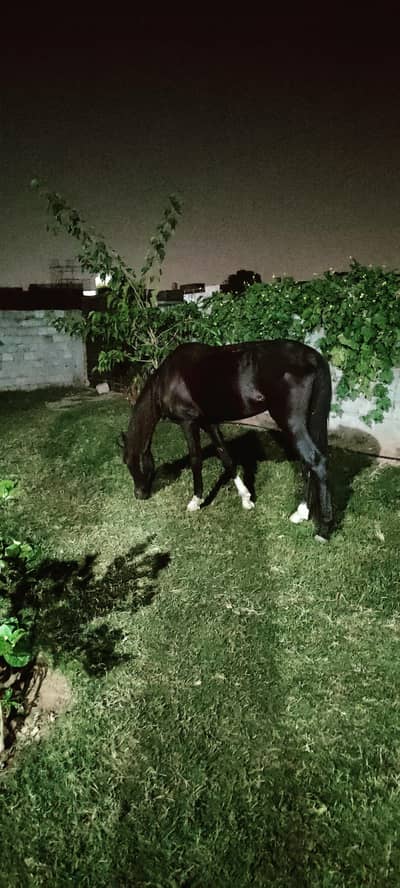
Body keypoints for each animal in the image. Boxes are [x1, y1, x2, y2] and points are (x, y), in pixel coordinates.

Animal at [121, 339, 333, 540]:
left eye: (131, 463)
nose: (139, 494)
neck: (167, 379)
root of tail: (314, 357)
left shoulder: (188, 422)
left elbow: (196, 460)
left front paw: (195, 501)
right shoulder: (208, 423)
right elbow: (226, 457)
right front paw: (246, 499)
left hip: (292, 423)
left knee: (315, 461)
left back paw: (323, 530)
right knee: (307, 464)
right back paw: (302, 513)